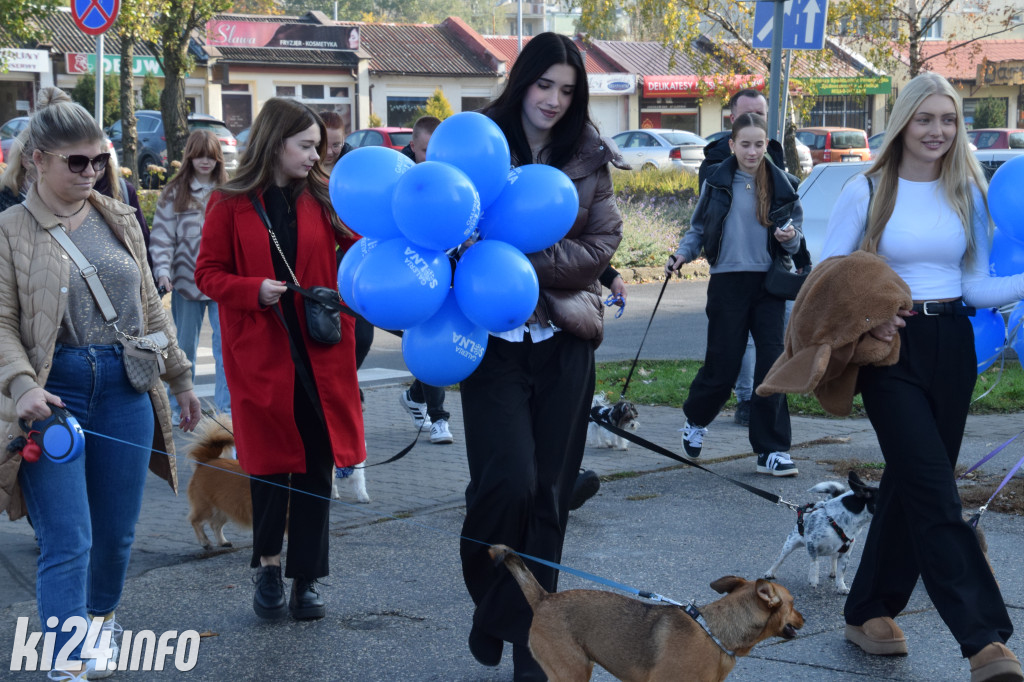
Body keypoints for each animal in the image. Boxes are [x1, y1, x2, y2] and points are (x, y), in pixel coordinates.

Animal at [184, 411, 249, 548]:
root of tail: (207, 461)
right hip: (208, 508)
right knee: (196, 521)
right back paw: (205, 542)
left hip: (225, 507)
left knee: (215, 525)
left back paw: (222, 542)